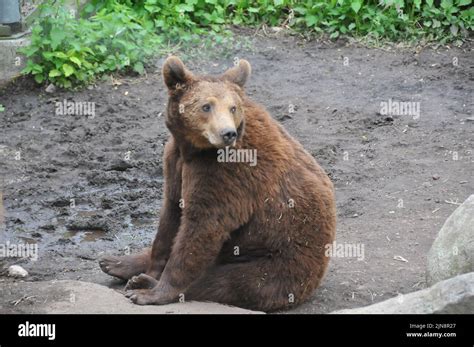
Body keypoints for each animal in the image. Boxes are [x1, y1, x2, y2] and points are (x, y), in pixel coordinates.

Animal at [100, 57, 336, 312]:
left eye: (233, 107)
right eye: (206, 106)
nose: (228, 133)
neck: (193, 149)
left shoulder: (227, 175)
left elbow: (202, 227)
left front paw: (150, 291)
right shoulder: (175, 162)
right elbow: (170, 216)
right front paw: (148, 268)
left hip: (280, 261)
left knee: (229, 282)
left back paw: (141, 282)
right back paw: (115, 262)